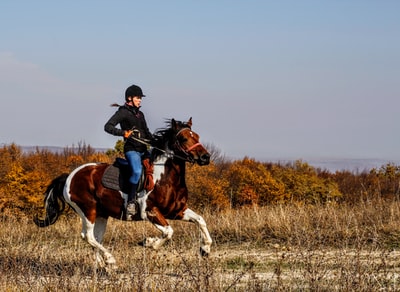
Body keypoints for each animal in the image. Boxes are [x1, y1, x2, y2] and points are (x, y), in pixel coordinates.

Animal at [34, 117, 212, 266]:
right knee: (88, 236)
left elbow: (200, 220)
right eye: (184, 138)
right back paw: (110, 260)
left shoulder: (177, 211)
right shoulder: (150, 212)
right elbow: (169, 231)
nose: (206, 157)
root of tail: (69, 176)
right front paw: (149, 242)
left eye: (197, 136)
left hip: (101, 214)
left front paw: (205, 249)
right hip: (88, 210)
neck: (165, 177)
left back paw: (102, 265)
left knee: (95, 238)